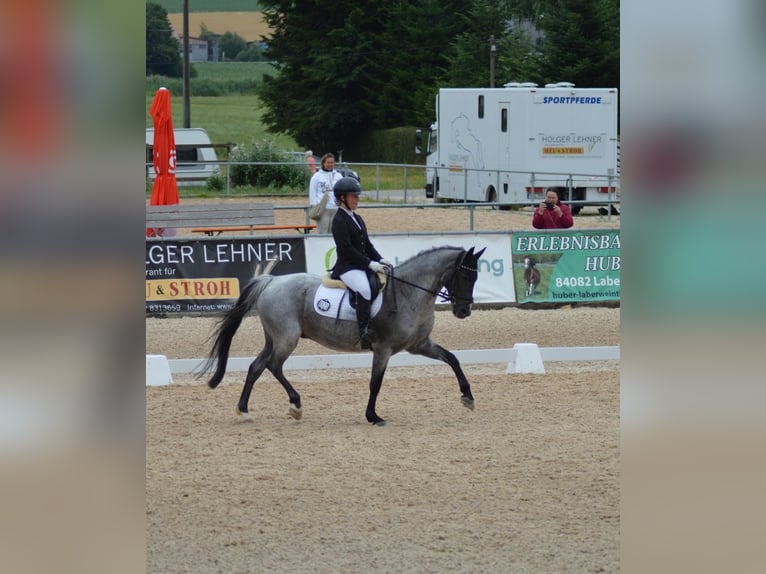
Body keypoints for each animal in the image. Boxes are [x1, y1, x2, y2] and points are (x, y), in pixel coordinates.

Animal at [200, 245, 486, 426]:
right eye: (464, 275)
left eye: (476, 278)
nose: (463, 311)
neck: (409, 293)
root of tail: (271, 281)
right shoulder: (383, 349)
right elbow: (375, 383)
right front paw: (373, 416)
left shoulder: (419, 345)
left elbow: (452, 359)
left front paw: (468, 398)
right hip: (287, 338)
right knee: (273, 366)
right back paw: (296, 406)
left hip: (274, 338)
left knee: (256, 367)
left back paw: (244, 411)